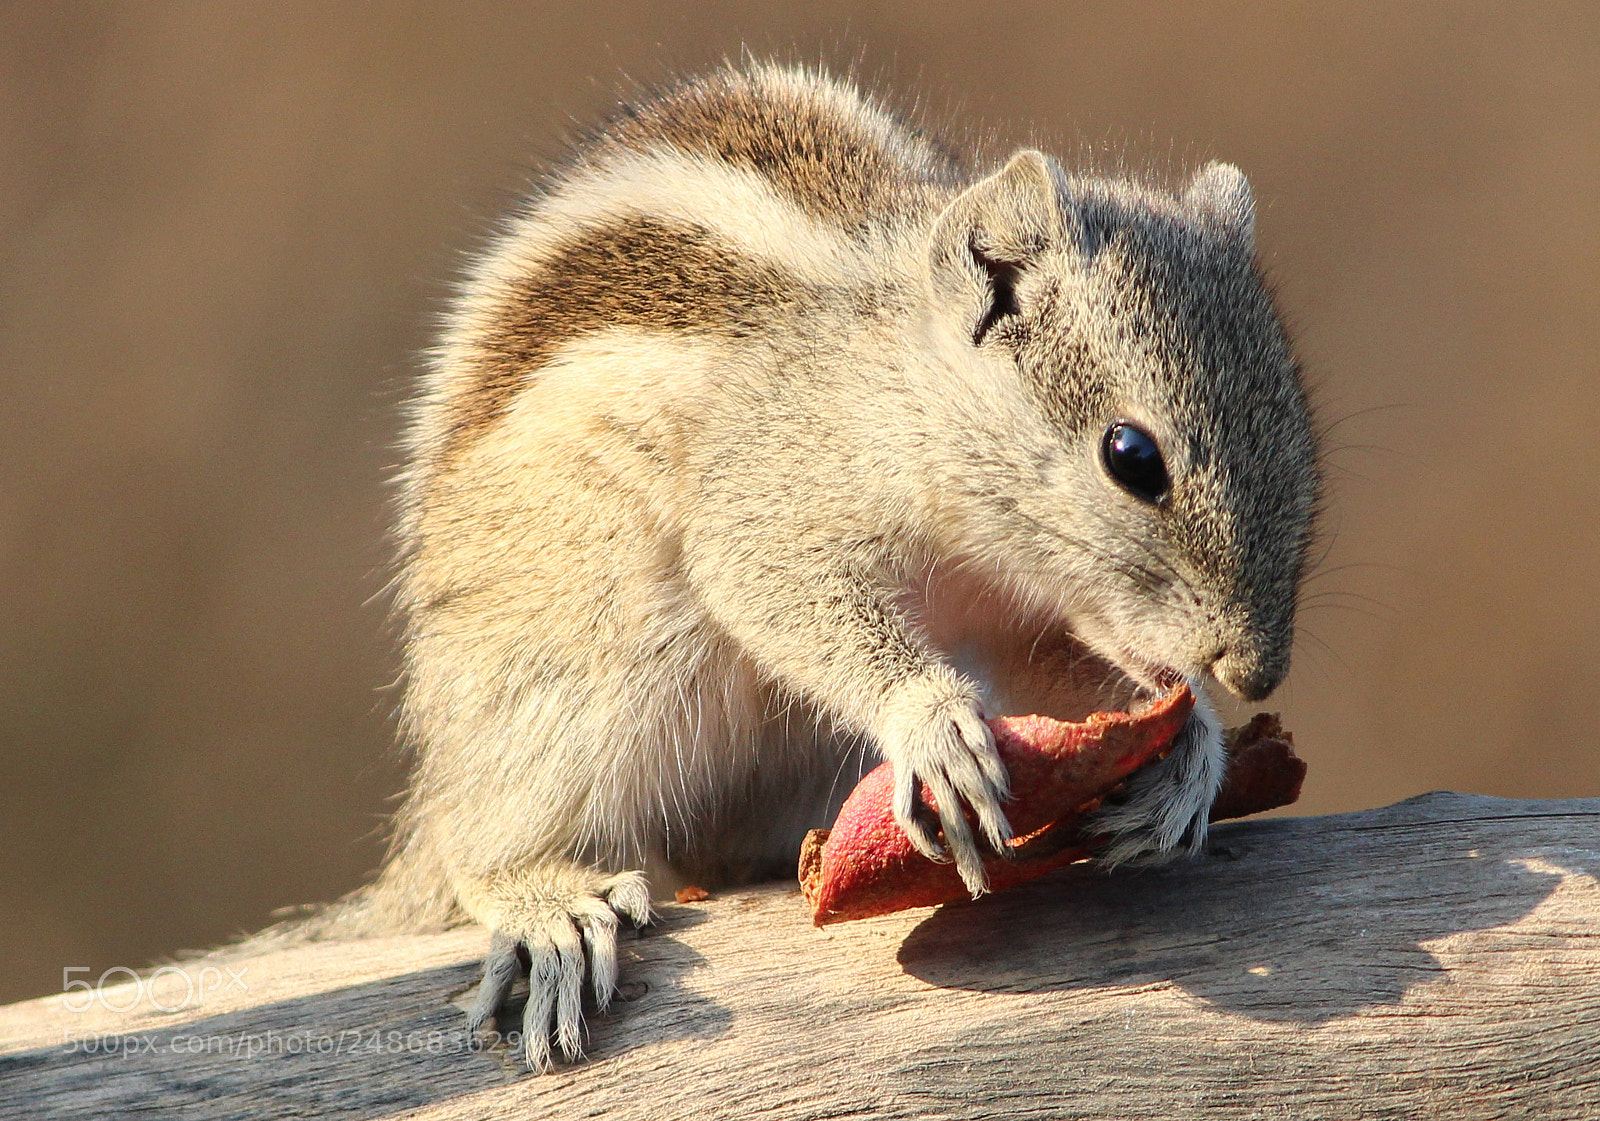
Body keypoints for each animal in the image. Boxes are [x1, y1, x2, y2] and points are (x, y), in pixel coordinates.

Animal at [307, 63, 1319, 1070]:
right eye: (1131, 456)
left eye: (1303, 439)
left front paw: (1194, 753)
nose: (1256, 671)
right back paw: (543, 903)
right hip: (570, 670)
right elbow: (783, 589)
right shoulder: (773, 502)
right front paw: (932, 721)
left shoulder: (1019, 629)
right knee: (481, 839)